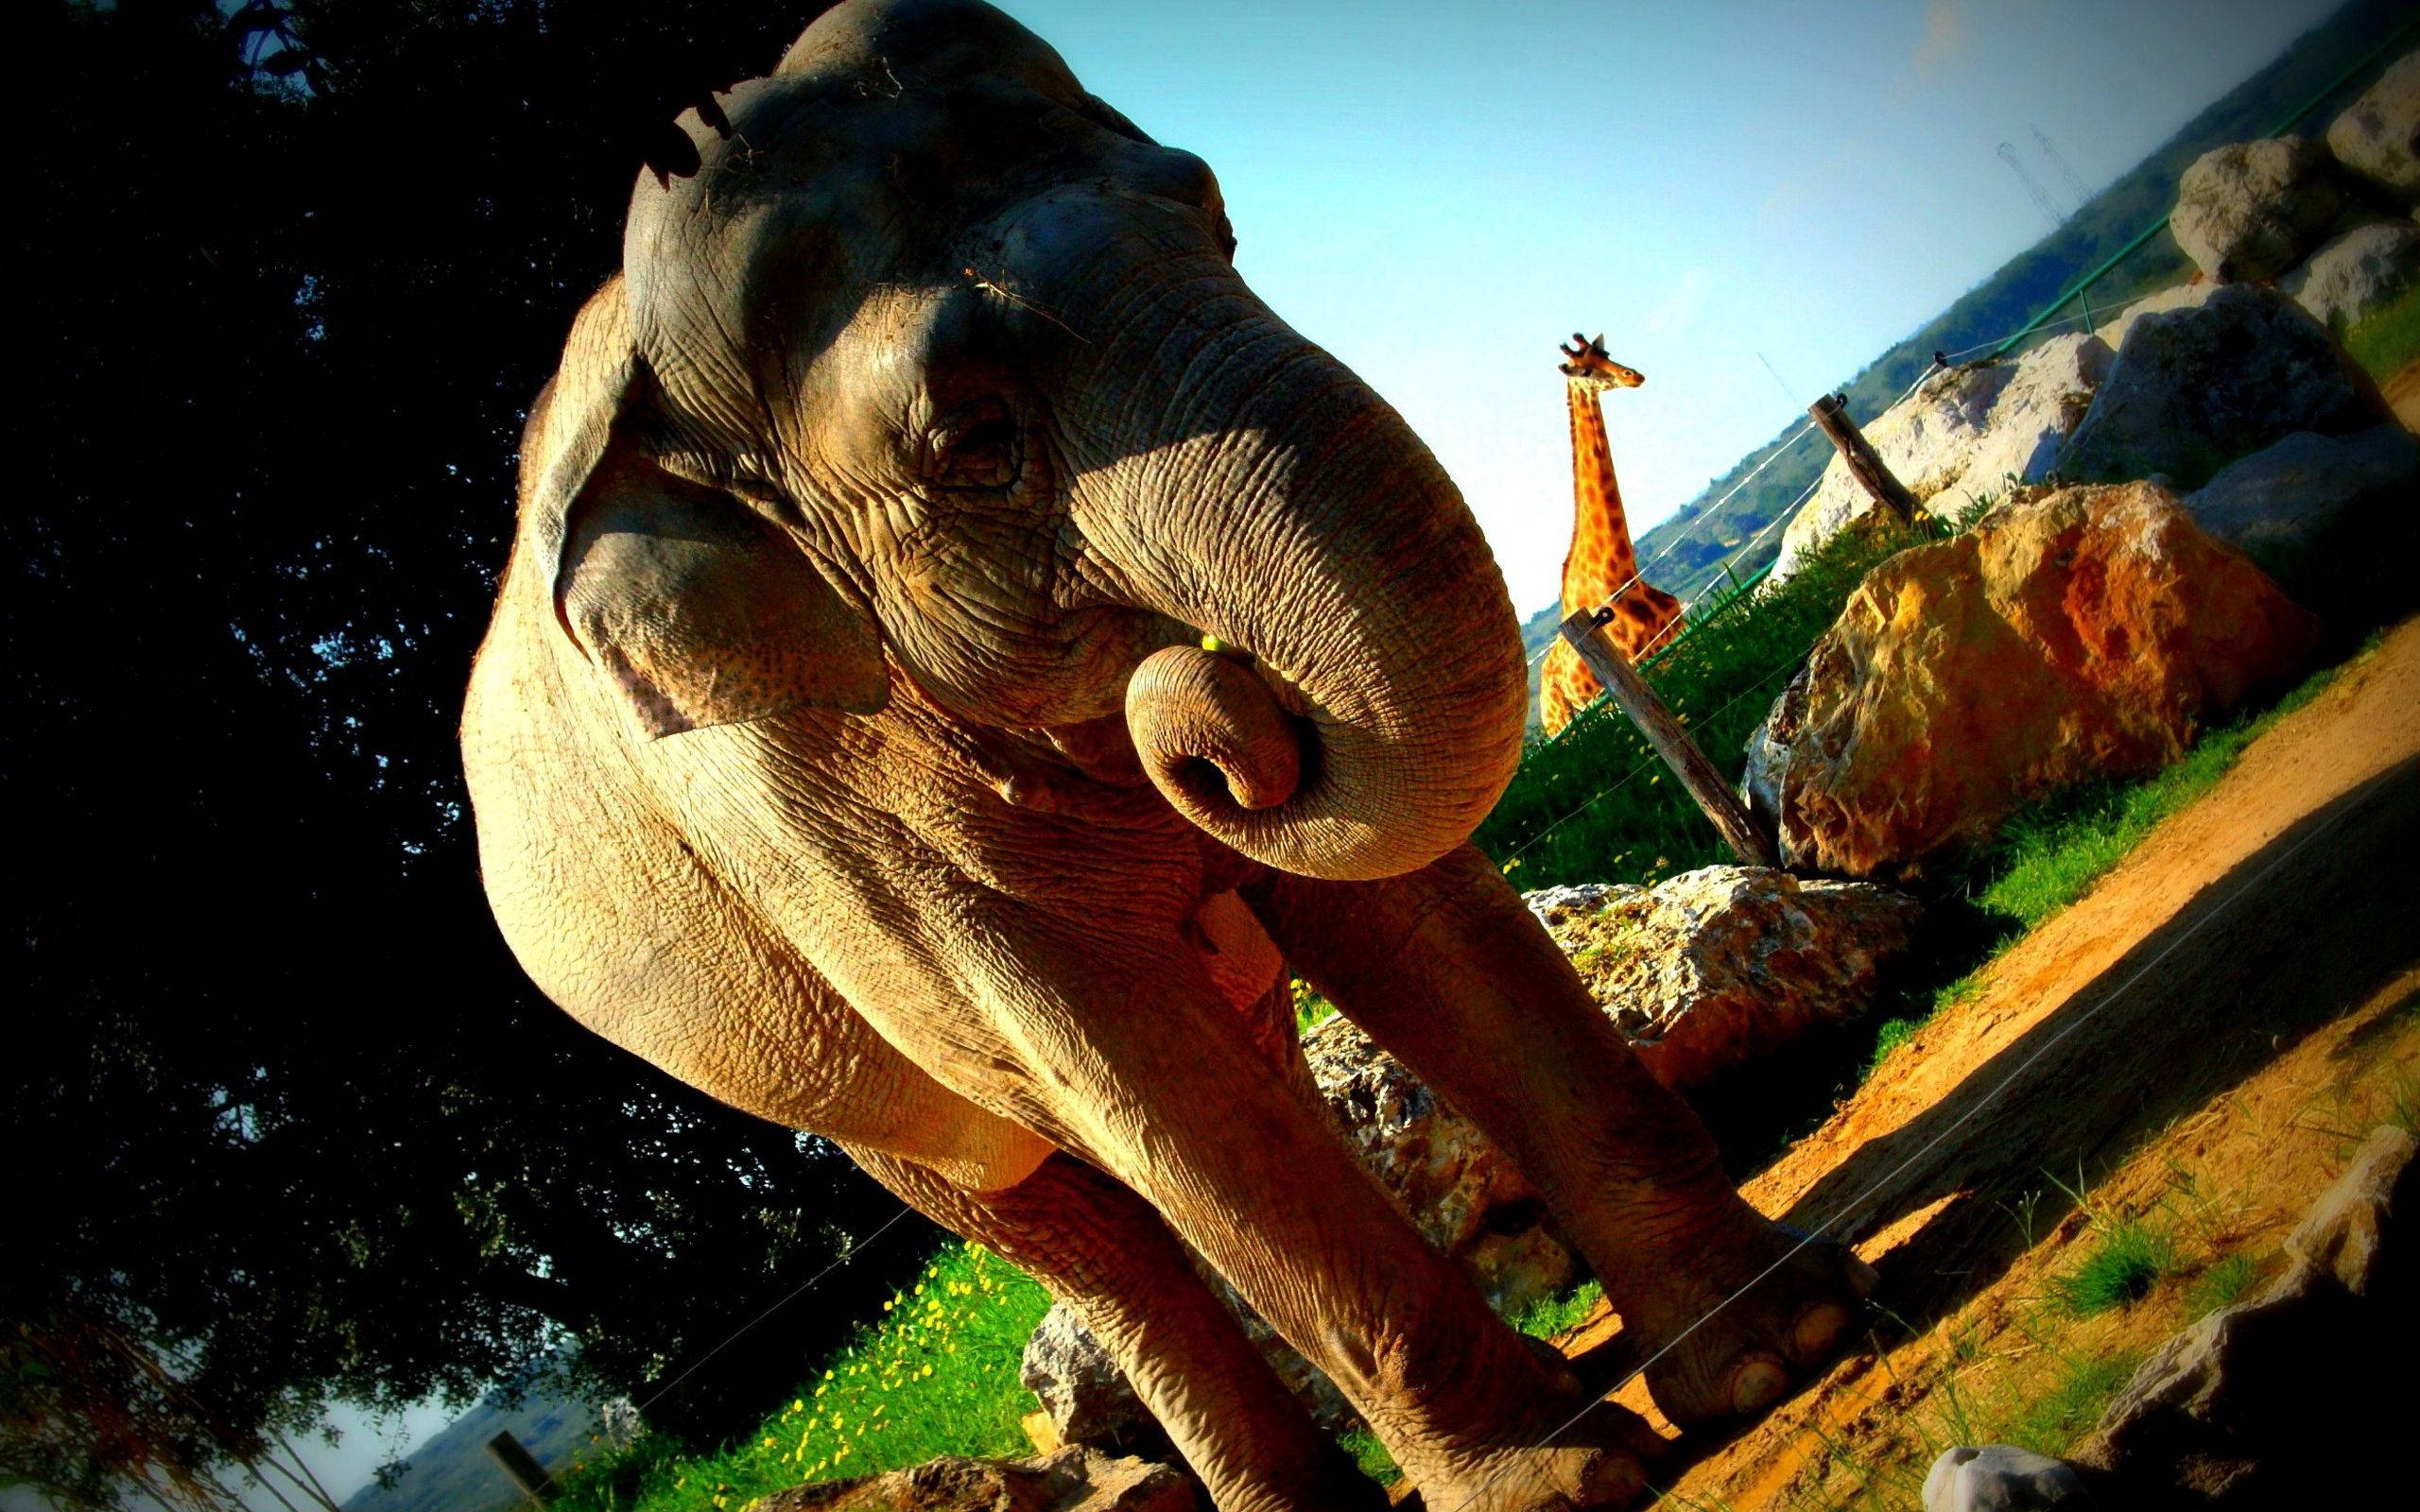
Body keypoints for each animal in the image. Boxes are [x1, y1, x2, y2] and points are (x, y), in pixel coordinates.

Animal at [460, 3, 1869, 1508]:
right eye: (975, 444)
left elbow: (1412, 920)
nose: (1214, 698)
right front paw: (1561, 1482)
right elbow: (1142, 1074)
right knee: (1062, 1215)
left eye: (1224, 225)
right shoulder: (821, 817)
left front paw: (1782, 1340)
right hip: (801, 1071)